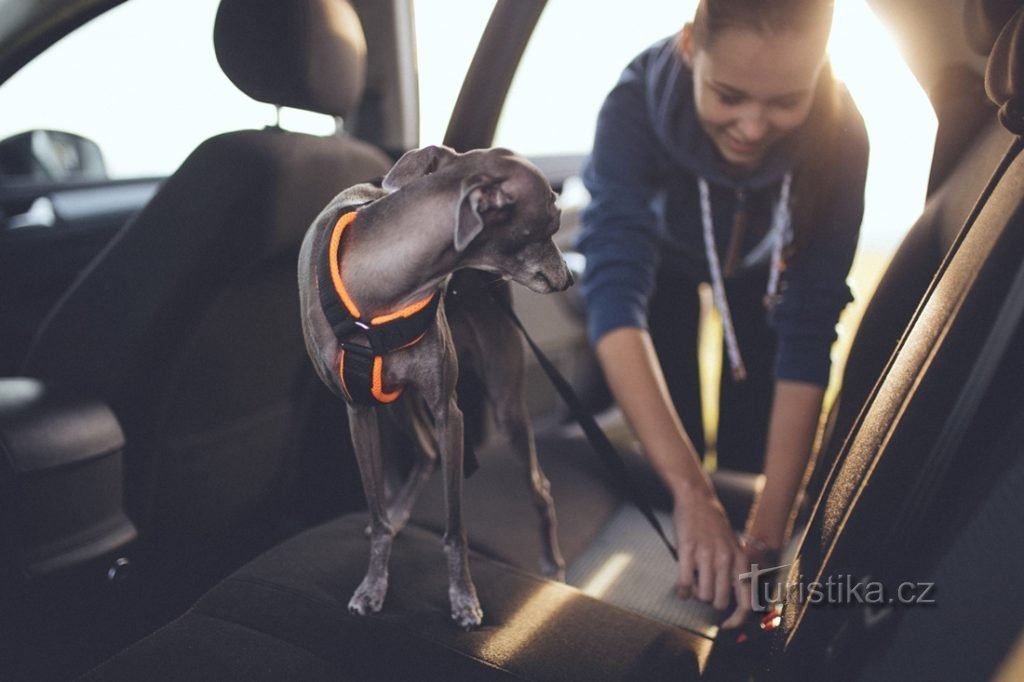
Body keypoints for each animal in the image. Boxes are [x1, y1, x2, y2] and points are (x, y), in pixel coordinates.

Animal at [299, 144, 577, 626]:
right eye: (554, 218)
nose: (570, 277)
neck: (382, 284)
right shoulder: (359, 411)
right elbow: (378, 512)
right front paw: (374, 584)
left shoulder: (449, 414)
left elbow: (454, 528)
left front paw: (462, 596)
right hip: (397, 402)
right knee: (425, 454)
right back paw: (398, 514)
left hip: (504, 402)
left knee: (539, 487)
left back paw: (552, 565)